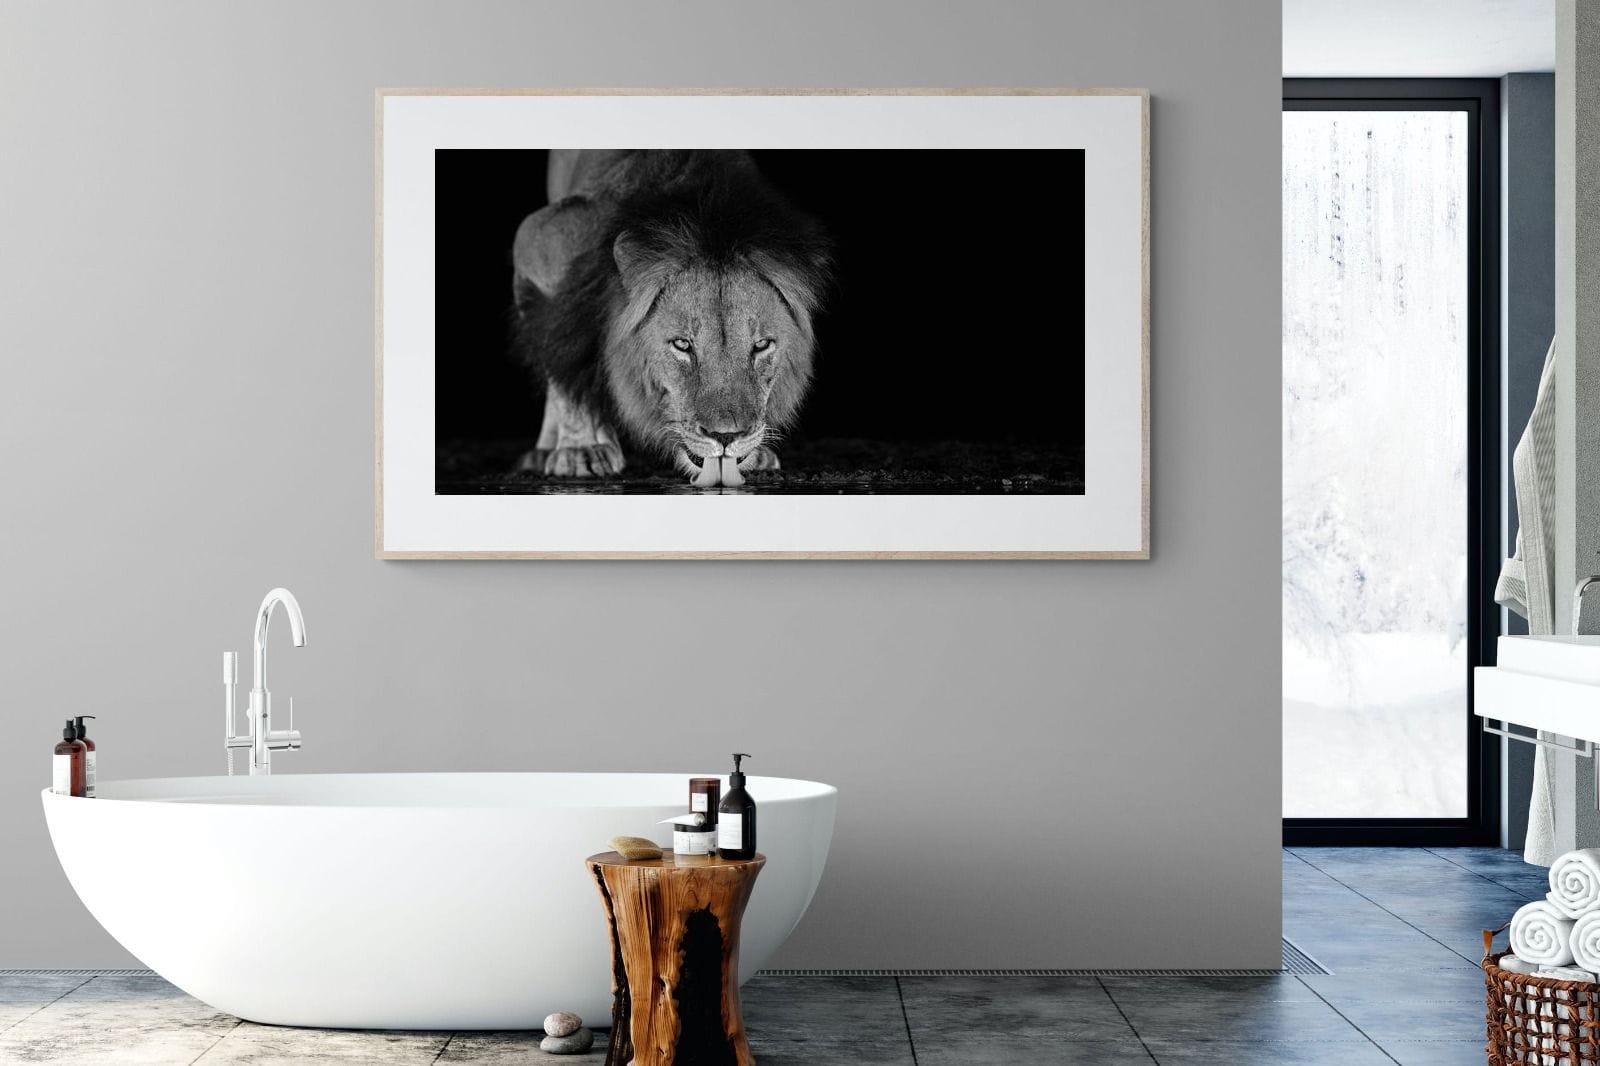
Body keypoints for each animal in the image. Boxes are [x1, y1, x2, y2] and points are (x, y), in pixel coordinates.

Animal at [509, 150, 832, 484]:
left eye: (761, 345)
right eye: (682, 345)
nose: (726, 436)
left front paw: (755, 454)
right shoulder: (539, 238)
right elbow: (563, 353)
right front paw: (580, 449)